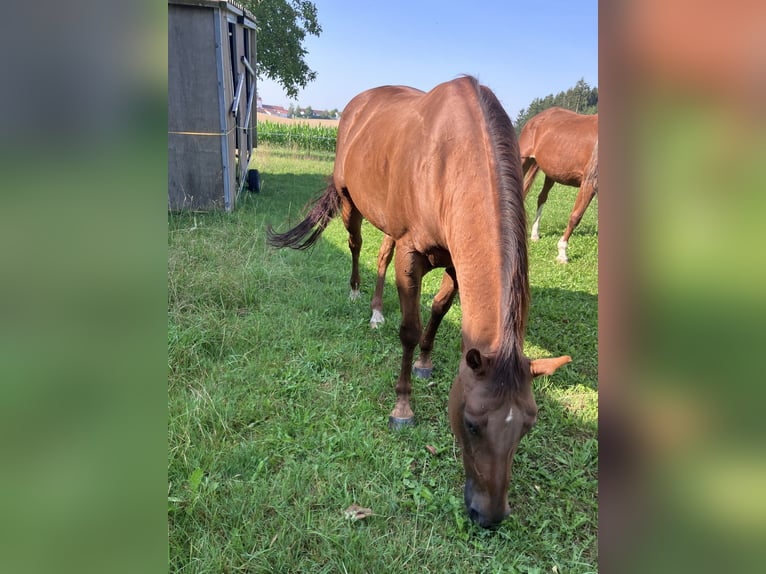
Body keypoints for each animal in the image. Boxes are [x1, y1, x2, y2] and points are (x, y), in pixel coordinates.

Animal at [268, 77, 572, 532]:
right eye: (471, 423)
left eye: (527, 427)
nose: (489, 516)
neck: (451, 160)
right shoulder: (412, 255)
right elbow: (409, 329)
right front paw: (403, 406)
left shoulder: (456, 262)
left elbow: (439, 310)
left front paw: (426, 362)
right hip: (350, 203)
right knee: (358, 246)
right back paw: (360, 297)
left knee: (381, 255)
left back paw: (377, 308)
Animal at [520, 107, 600, 264]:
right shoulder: (589, 182)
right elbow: (575, 216)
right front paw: (562, 253)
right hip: (523, 160)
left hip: (551, 173)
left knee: (541, 198)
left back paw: (534, 234)